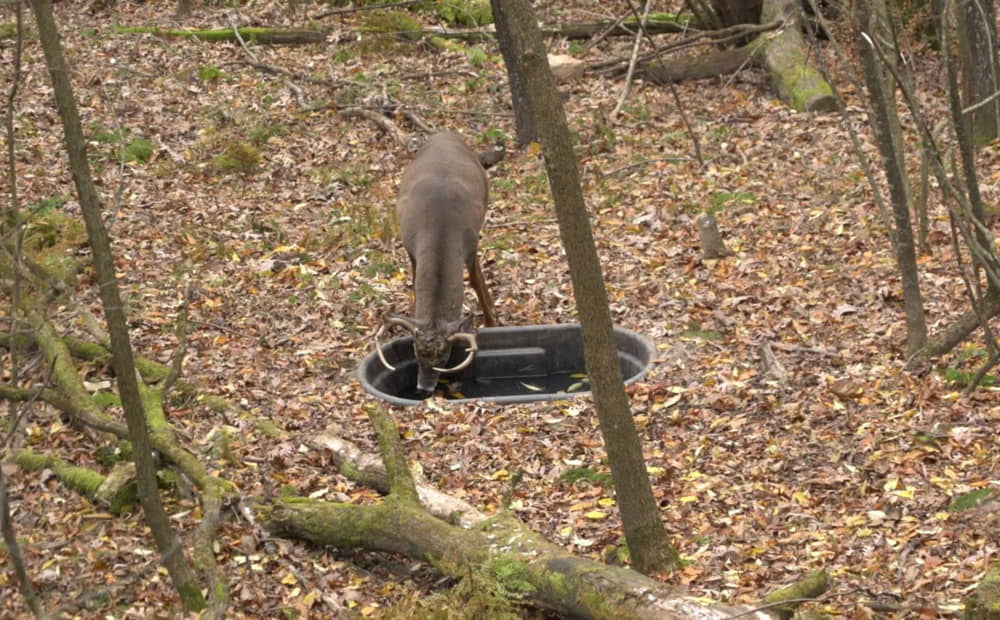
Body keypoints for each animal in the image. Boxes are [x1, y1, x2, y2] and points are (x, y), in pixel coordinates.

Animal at [374, 131, 499, 393]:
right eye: (416, 353)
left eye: (444, 357)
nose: (423, 388)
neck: (440, 228)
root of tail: (446, 133)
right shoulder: (410, 246)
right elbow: (414, 281)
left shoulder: (469, 243)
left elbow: (475, 280)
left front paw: (492, 321)